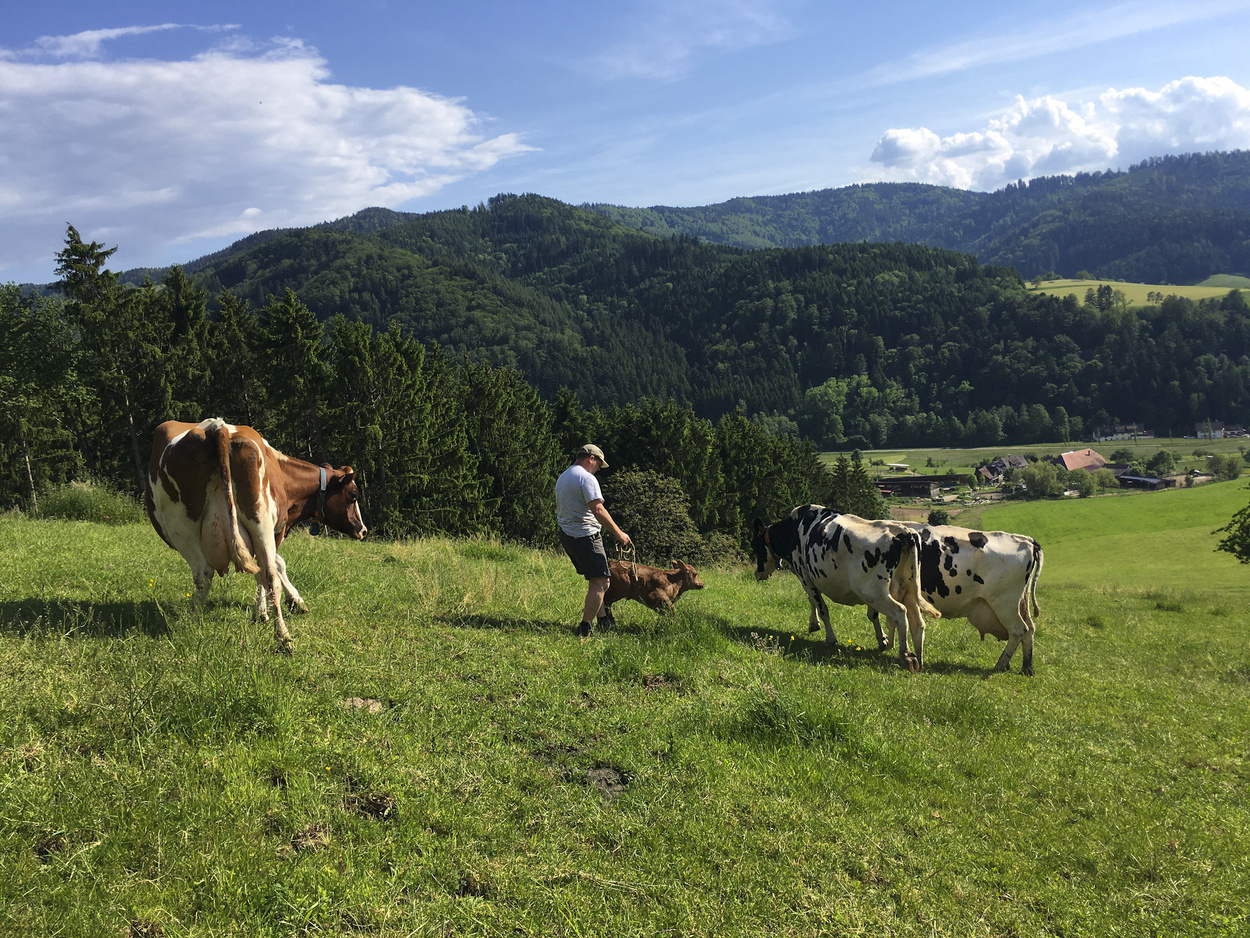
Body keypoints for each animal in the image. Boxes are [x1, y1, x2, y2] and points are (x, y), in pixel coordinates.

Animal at [144, 418, 367, 652]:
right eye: (353, 495)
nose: (363, 530)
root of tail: (217, 427)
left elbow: (265, 567)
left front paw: (271, 607)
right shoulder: (278, 529)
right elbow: (276, 565)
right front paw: (278, 606)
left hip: (182, 528)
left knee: (203, 575)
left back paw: (196, 621)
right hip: (260, 520)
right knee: (268, 574)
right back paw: (283, 637)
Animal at [752, 506, 941, 672]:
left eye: (756, 546)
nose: (757, 573)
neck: (795, 529)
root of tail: (904, 532)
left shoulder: (804, 574)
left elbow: (821, 607)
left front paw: (829, 637)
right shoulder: (810, 577)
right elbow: (871, 615)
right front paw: (882, 640)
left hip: (873, 592)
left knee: (900, 612)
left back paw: (907, 655)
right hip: (908, 588)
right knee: (918, 623)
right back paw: (919, 660)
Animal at [866, 523, 1043, 676]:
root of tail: (1027, 540)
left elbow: (881, 616)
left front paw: (885, 643)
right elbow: (888, 619)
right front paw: (888, 644)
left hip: (1003, 602)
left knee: (1019, 630)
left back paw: (1000, 664)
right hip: (1020, 603)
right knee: (1030, 629)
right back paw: (1027, 668)